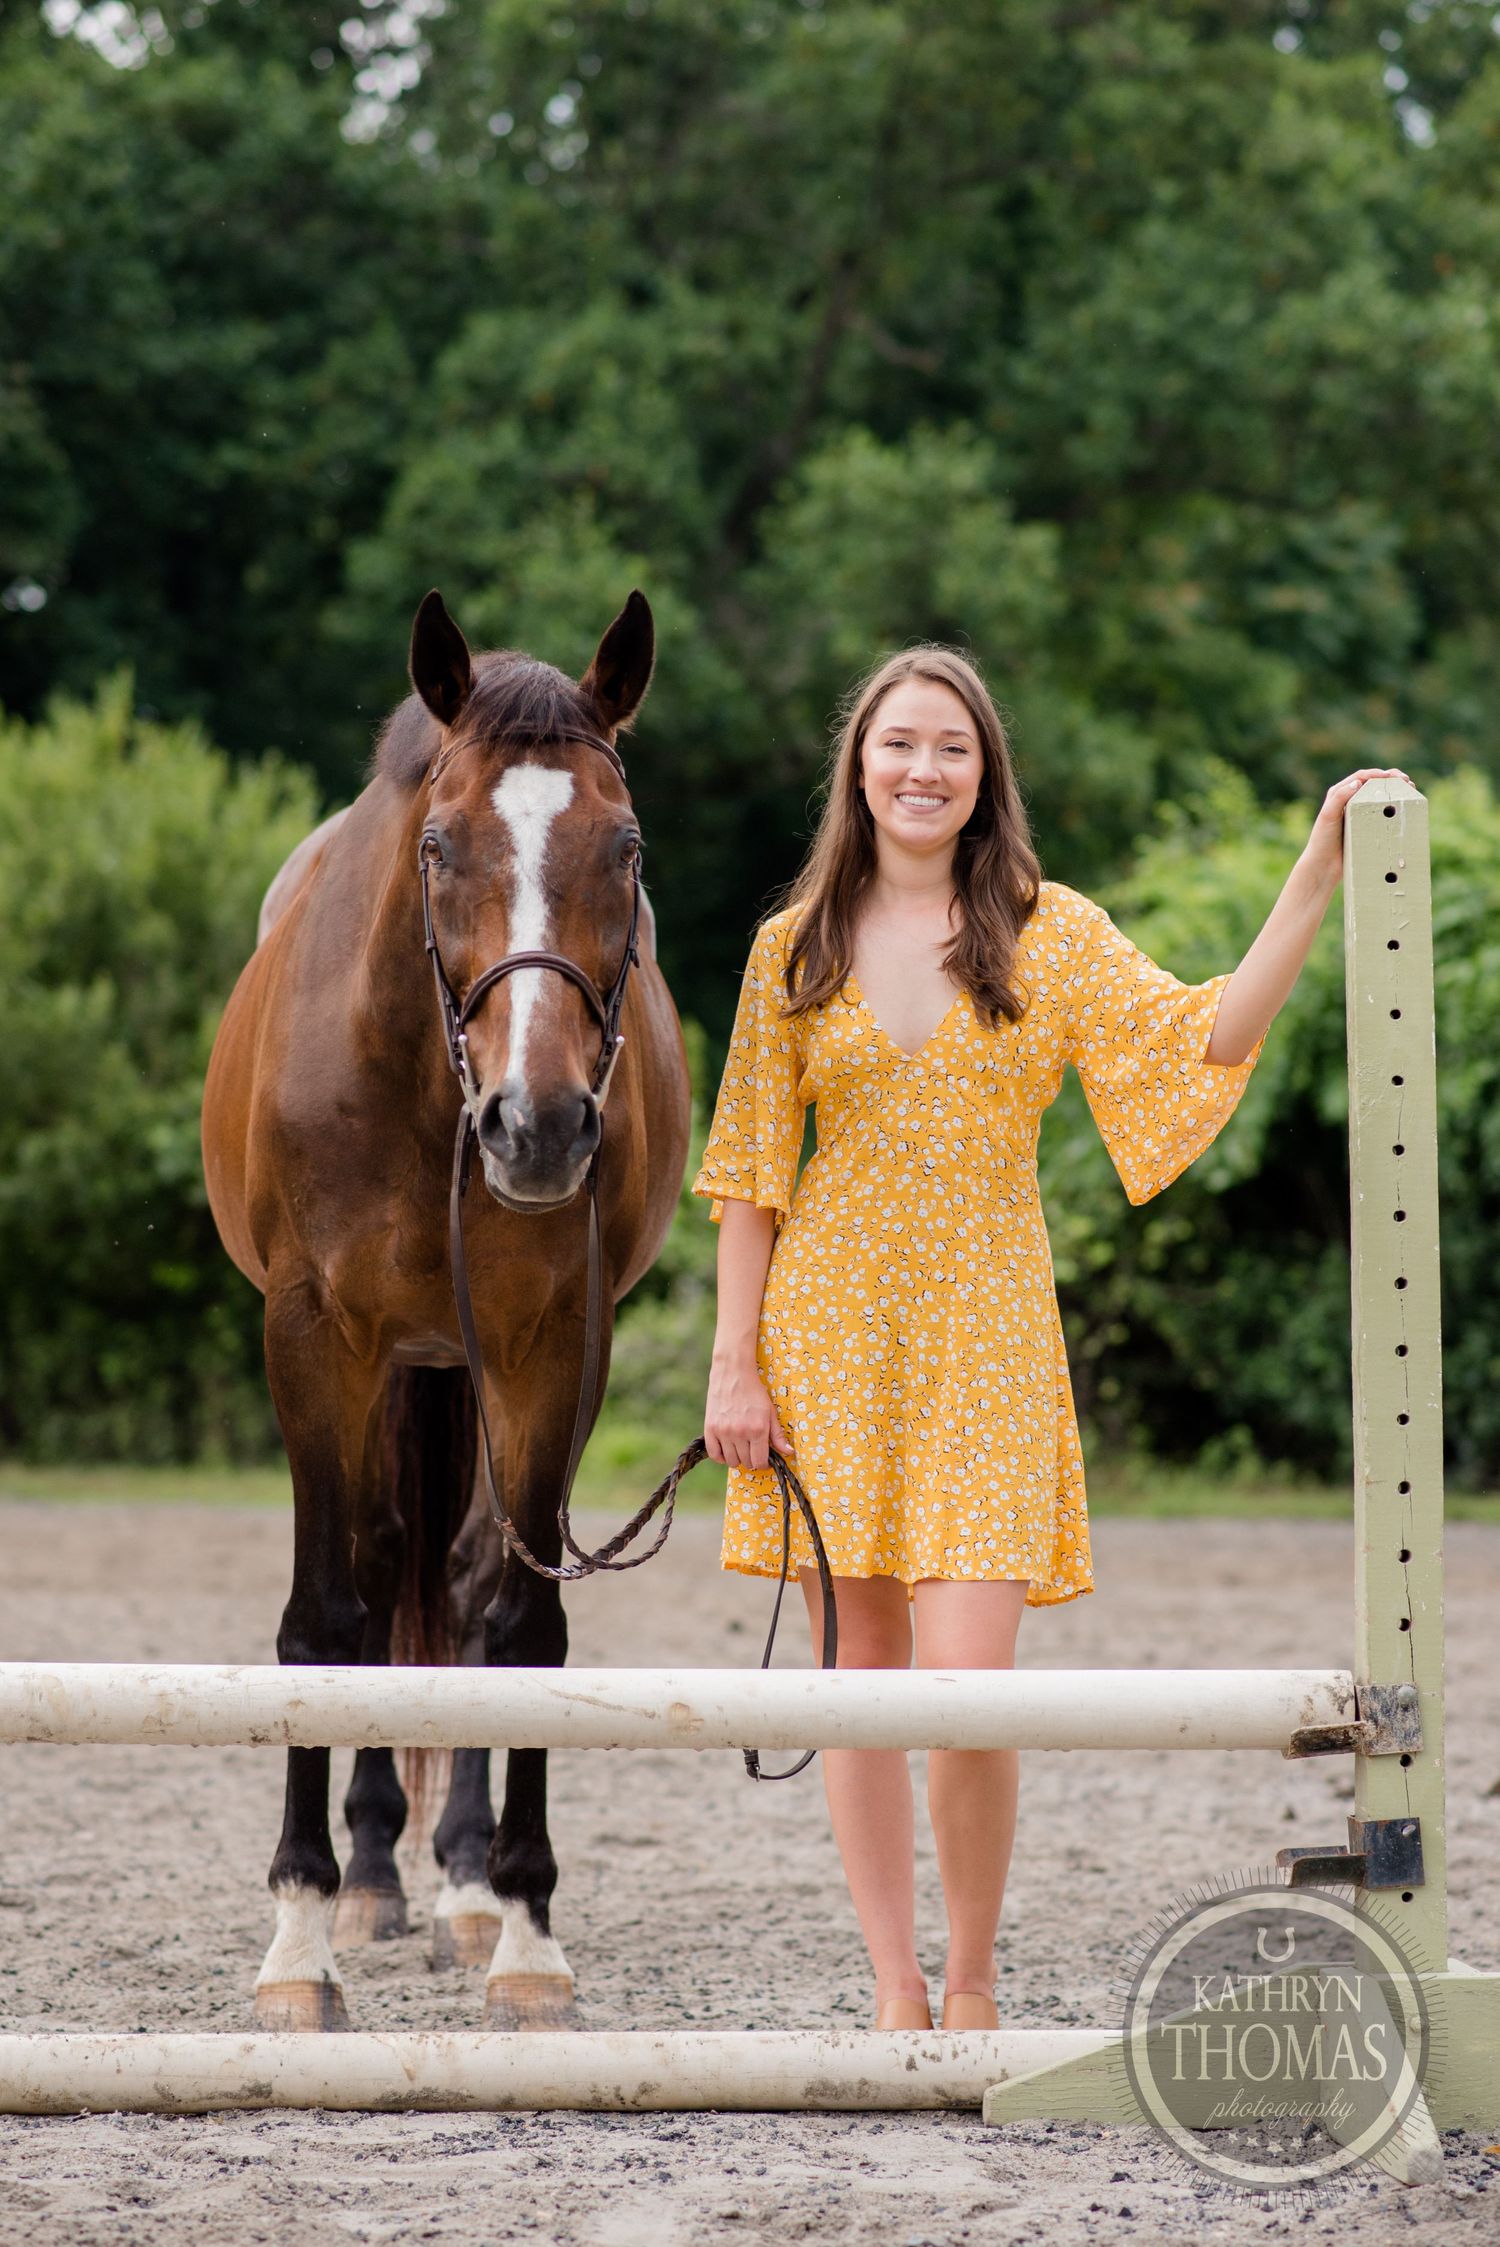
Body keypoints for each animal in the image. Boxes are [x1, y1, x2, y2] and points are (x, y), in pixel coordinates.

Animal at [201, 588, 692, 2030]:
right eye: (438, 844)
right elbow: (329, 1616)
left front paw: (524, 1922)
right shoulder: (313, 1338)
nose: (539, 1126)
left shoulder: (551, 1351)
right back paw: (371, 1874)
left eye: (625, 845)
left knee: (461, 1580)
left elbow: (517, 1619)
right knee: (379, 1577)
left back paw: (464, 1882)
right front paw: (299, 1938)